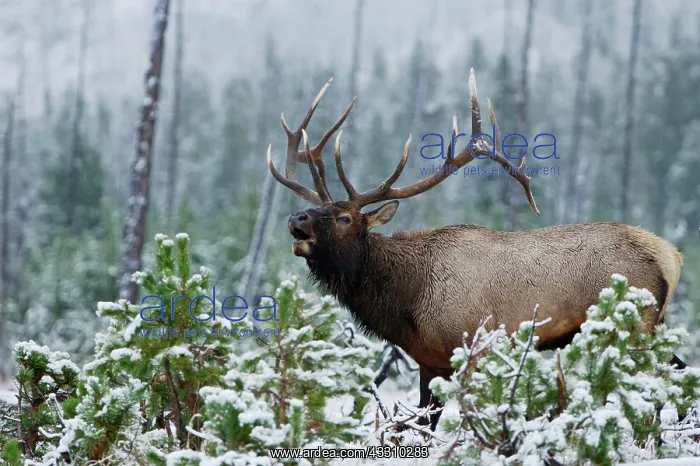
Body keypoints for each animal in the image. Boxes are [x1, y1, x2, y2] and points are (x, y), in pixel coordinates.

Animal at [265, 71, 686, 431]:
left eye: (345, 218)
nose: (296, 219)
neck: (407, 301)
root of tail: (671, 256)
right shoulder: (429, 362)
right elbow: (425, 422)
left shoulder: (475, 347)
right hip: (652, 326)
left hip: (635, 325)